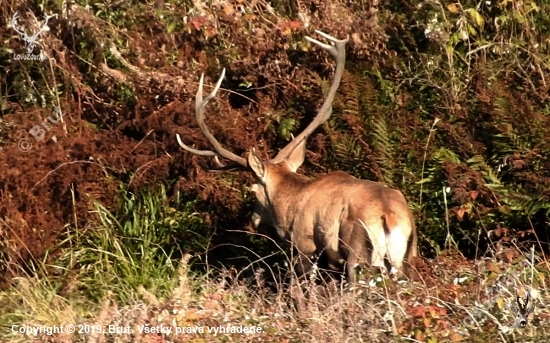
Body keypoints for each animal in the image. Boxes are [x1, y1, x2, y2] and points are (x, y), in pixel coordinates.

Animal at [177, 29, 418, 284]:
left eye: (253, 189)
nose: (253, 219)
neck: (290, 205)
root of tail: (389, 216)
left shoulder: (305, 245)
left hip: (359, 253)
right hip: (409, 257)